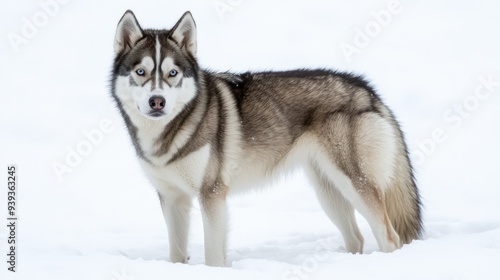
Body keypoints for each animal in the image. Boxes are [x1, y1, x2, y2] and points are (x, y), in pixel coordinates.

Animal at [110, 9, 422, 266]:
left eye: (172, 73)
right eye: (141, 72)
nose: (157, 101)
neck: (170, 131)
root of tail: (367, 89)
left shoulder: (212, 194)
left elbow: (213, 256)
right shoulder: (173, 199)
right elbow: (176, 255)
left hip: (355, 184)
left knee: (390, 238)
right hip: (328, 191)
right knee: (356, 238)